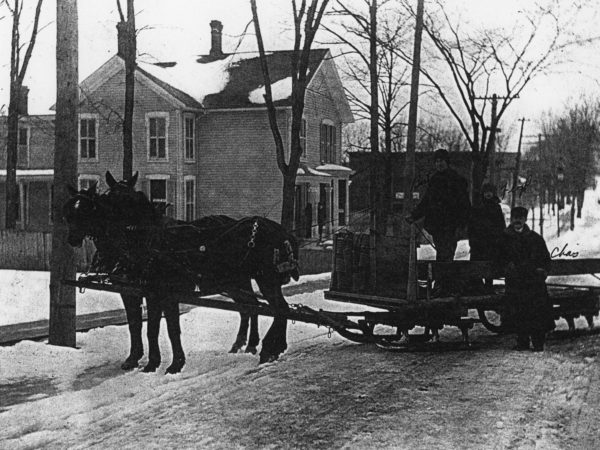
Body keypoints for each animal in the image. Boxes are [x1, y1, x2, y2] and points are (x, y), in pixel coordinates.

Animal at [63, 172, 298, 372]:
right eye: (107, 198)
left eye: (89, 208)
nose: (72, 239)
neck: (150, 242)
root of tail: (279, 230)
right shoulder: (133, 291)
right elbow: (138, 326)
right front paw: (137, 360)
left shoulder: (161, 293)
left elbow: (163, 328)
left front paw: (168, 364)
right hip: (236, 282)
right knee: (255, 307)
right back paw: (253, 345)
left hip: (264, 278)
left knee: (278, 308)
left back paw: (267, 348)